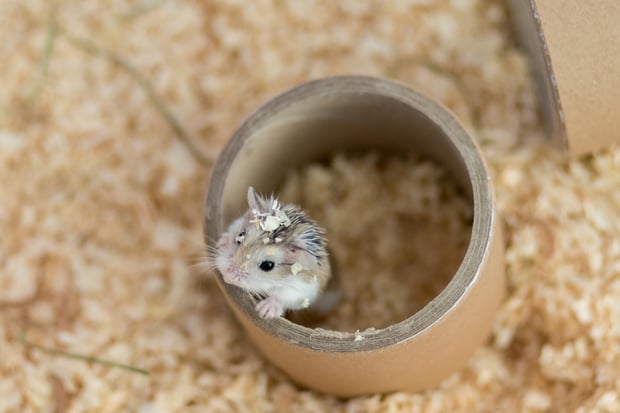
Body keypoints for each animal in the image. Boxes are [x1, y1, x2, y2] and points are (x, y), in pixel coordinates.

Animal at [218, 187, 334, 318]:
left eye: (267, 265)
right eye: (240, 236)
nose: (227, 278)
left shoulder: (299, 291)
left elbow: (282, 299)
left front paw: (263, 311)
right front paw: (221, 243)